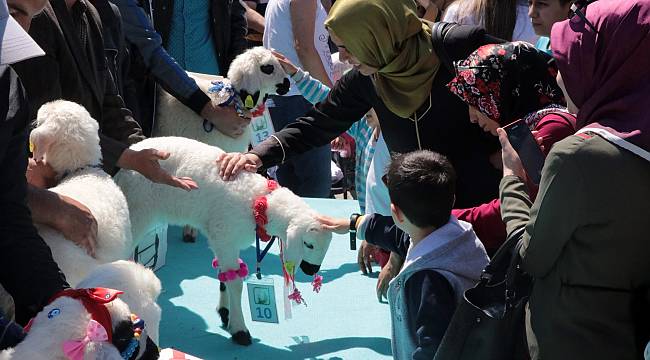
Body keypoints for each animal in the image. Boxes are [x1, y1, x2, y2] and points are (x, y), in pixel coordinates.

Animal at [112, 136, 332, 344]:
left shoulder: (223, 238)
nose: (311, 270)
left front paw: (225, 314)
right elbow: (236, 283)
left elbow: (225, 275)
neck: (260, 202)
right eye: (309, 244)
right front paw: (240, 330)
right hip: (137, 212)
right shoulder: (225, 236)